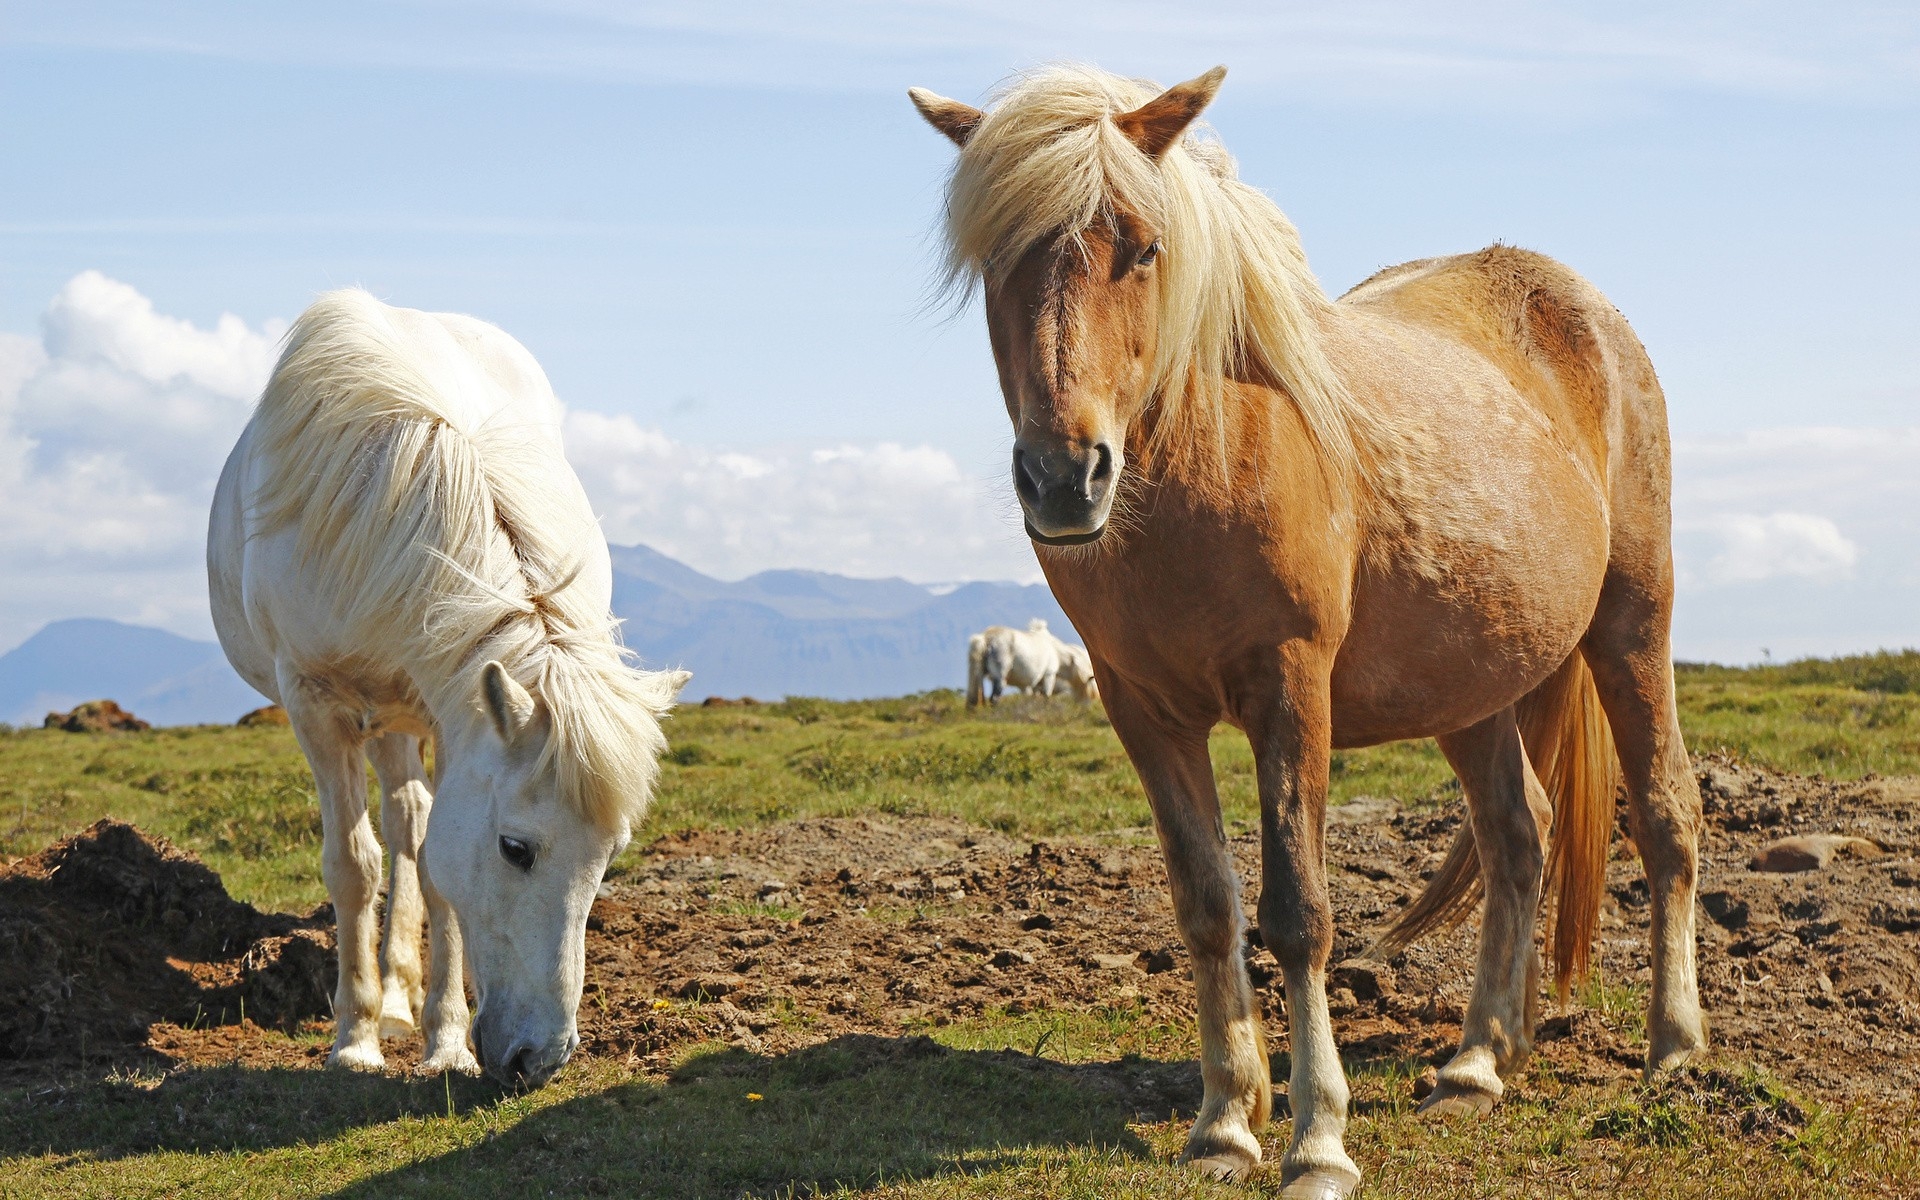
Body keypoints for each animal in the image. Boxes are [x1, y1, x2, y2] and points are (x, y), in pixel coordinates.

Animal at [209, 291, 687, 1082]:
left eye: (610, 856)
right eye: (515, 848)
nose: (541, 1059)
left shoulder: (446, 713)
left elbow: (434, 864)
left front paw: (445, 1044)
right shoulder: (316, 705)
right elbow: (352, 864)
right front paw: (354, 1040)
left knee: (410, 823)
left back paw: (405, 999)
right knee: (397, 826)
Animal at [967, 614, 1105, 706]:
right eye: (1089, 691)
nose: (1086, 708)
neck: (1055, 651)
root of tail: (985, 638)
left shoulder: (1036, 684)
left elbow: (1034, 698)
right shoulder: (1049, 675)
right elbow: (1047, 696)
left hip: (979, 674)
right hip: (1000, 676)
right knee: (994, 698)